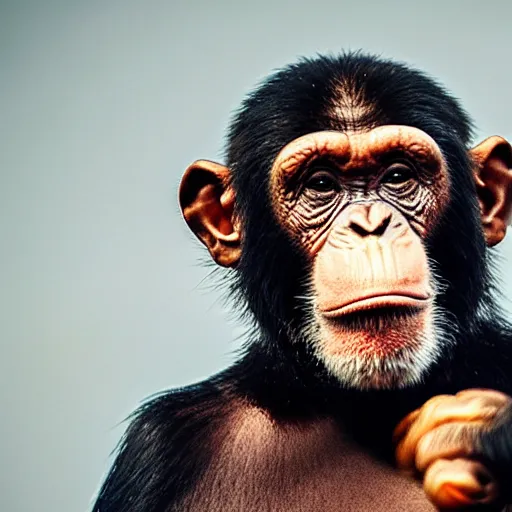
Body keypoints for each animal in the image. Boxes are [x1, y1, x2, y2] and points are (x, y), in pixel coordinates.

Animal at [92, 50, 512, 510]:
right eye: (321, 184)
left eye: (398, 177)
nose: (370, 225)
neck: (369, 408)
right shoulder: (161, 446)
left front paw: (489, 437)